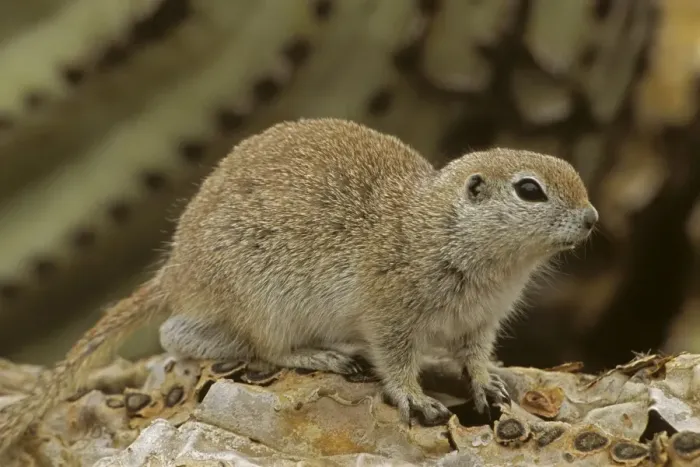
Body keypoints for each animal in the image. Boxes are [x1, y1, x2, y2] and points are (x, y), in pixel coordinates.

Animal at [0, 118, 597, 454]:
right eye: (529, 190)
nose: (593, 219)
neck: (439, 229)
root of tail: (178, 269)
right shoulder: (390, 314)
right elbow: (396, 359)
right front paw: (415, 398)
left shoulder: (480, 323)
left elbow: (474, 358)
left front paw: (489, 383)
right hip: (268, 304)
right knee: (220, 341)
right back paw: (321, 355)